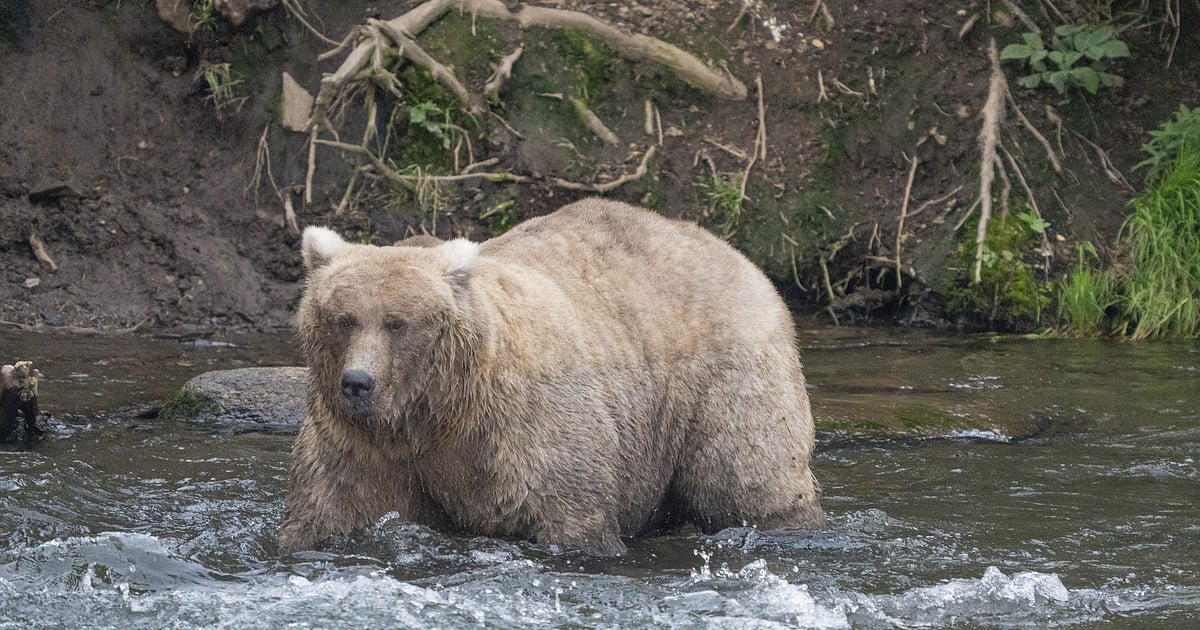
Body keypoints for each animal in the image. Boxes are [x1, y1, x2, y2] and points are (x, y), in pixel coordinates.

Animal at [278, 198, 825, 554]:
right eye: (343, 318)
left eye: (398, 322)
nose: (357, 382)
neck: (436, 412)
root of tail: (734, 253)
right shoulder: (363, 445)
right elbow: (330, 509)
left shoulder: (525, 429)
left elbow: (570, 514)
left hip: (723, 378)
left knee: (748, 477)